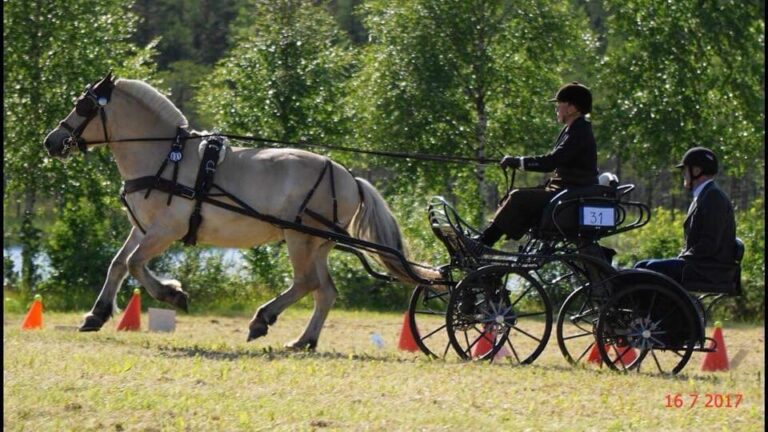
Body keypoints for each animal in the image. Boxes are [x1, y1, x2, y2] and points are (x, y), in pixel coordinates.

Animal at [43, 73, 438, 352]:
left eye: (82, 105)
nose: (51, 141)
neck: (164, 156)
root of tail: (349, 177)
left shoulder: (165, 230)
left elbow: (136, 264)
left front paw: (174, 294)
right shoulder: (143, 228)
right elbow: (118, 264)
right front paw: (96, 314)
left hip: (299, 238)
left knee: (306, 283)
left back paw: (263, 319)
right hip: (318, 243)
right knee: (324, 291)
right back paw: (303, 340)